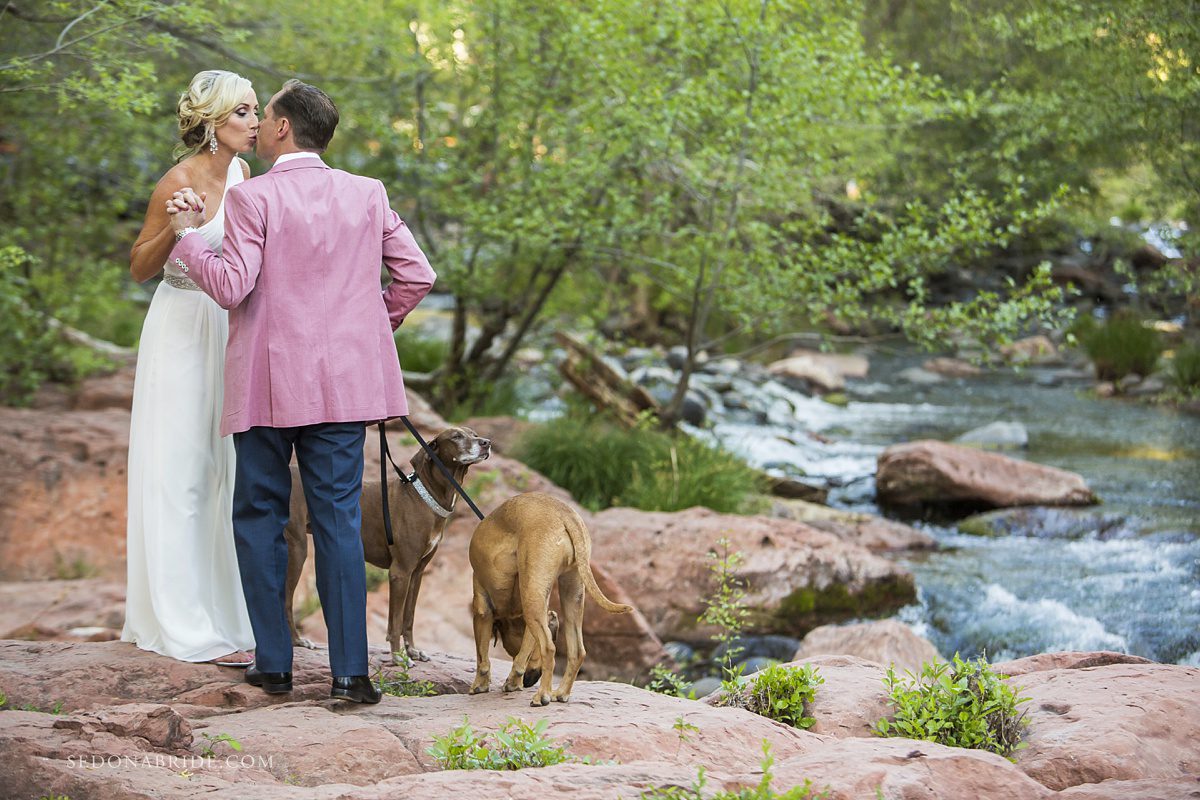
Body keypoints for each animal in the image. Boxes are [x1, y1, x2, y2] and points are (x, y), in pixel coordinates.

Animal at [285, 429, 492, 666]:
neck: (425, 497)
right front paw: (398, 657)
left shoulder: (417, 573)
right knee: (285, 601)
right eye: (456, 436)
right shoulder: (400, 572)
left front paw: (412, 651)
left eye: (474, 434)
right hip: (297, 549)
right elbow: (395, 622)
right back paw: (297, 640)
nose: (487, 443)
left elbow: (408, 618)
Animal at [465, 491, 633, 705]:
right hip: (570, 591)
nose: (531, 681)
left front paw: (480, 685)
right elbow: (524, 651)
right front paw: (513, 681)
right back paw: (560, 693)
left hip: (535, 595)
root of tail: (564, 513)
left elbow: (482, 657)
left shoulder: (483, 610)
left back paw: (542, 695)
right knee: (577, 651)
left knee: (549, 648)